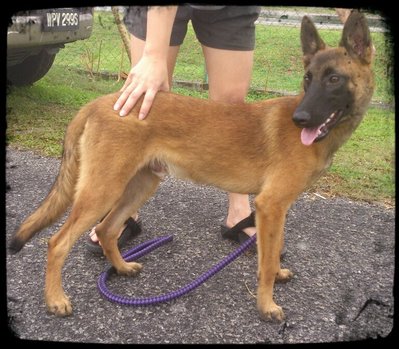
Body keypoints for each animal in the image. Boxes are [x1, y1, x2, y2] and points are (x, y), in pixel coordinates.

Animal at [8, 10, 376, 320]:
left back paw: (123, 268)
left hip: (140, 184)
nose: (299, 119)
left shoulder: (277, 209)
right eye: (307, 78)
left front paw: (277, 276)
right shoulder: (271, 206)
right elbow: (267, 262)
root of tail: (99, 102)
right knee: (58, 243)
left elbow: (271, 254)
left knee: (107, 229)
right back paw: (56, 299)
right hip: (103, 189)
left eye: (333, 79)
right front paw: (267, 306)